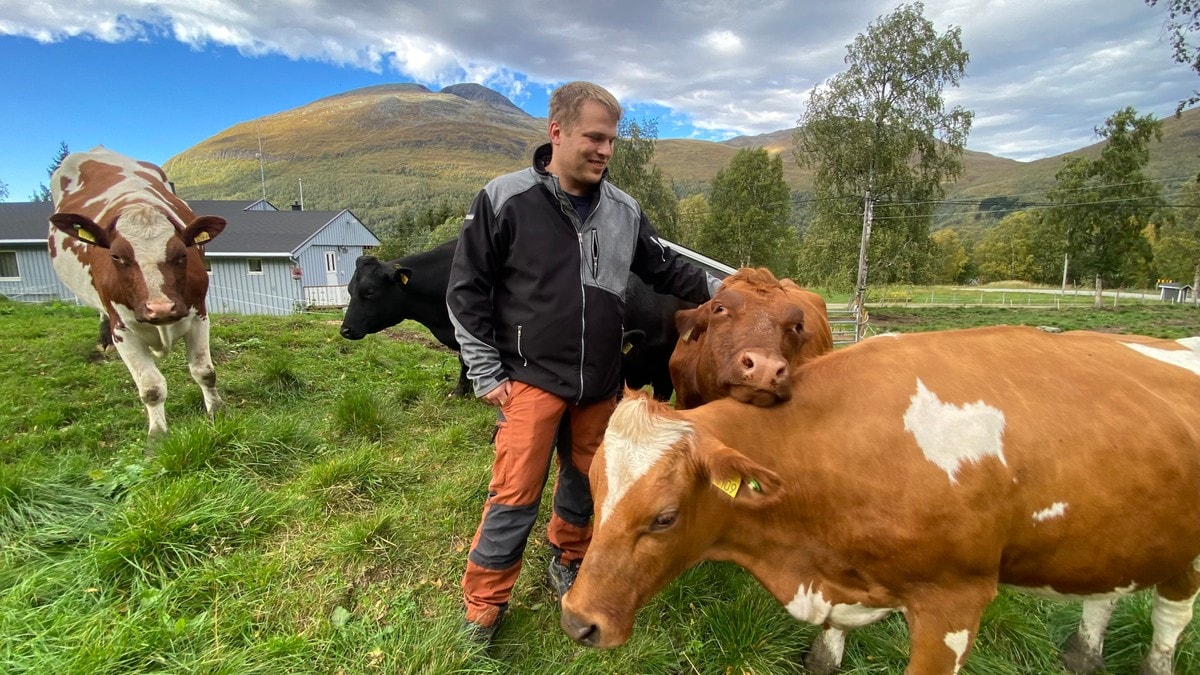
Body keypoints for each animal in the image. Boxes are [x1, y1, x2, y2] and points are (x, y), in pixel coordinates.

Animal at [48, 145, 225, 437]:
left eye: (181, 254)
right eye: (117, 256)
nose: (161, 309)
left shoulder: (199, 313)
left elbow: (204, 371)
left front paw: (216, 413)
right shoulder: (124, 331)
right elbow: (151, 387)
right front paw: (157, 435)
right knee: (102, 313)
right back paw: (103, 342)